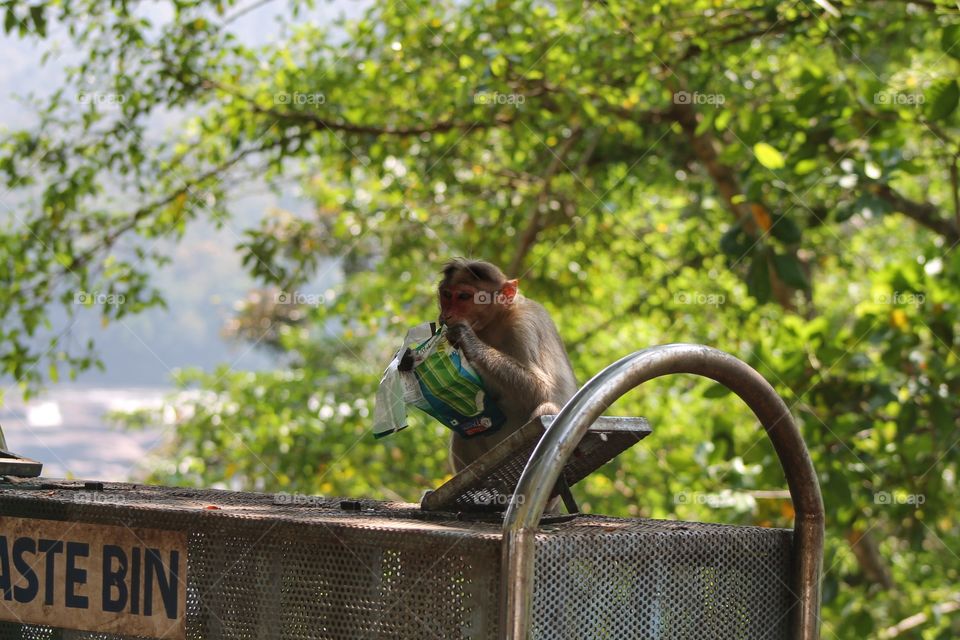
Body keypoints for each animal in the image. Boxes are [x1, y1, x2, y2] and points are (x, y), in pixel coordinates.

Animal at [437, 258, 579, 473]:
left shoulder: (524, 326)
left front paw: (467, 339)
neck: (496, 322)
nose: (446, 315)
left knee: (547, 408)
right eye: (446, 295)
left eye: (464, 296)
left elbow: (547, 390)